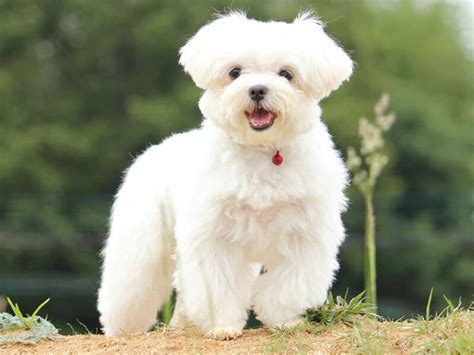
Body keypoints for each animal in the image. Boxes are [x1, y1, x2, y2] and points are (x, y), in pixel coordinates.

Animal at [98, 9, 354, 340]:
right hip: (142, 246)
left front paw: (286, 320)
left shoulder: (305, 233)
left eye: (286, 74)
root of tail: (152, 151)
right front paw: (222, 326)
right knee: (130, 289)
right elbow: (219, 286)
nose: (257, 89)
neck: (261, 151)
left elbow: (288, 284)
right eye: (235, 72)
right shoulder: (213, 235)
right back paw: (122, 330)